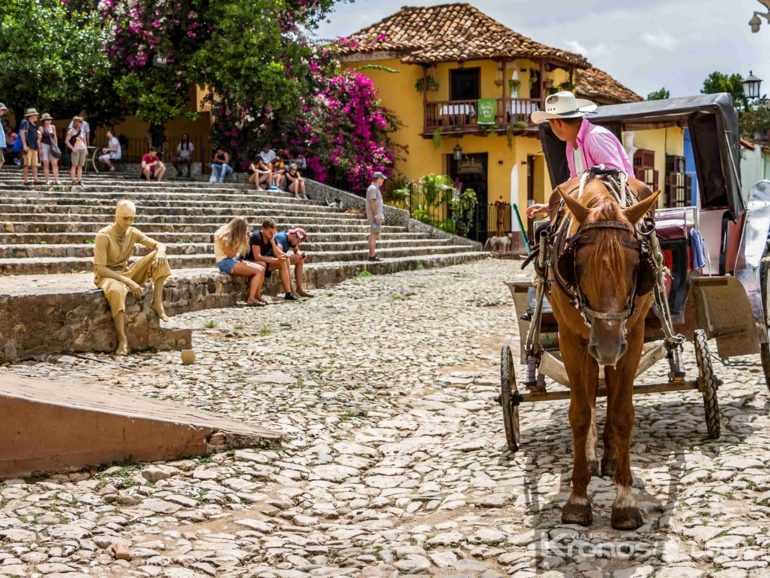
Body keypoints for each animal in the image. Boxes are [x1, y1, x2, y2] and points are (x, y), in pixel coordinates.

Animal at [544, 178, 660, 528]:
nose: (607, 345)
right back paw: (593, 453)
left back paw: (608, 457)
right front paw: (578, 498)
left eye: (636, 265)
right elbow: (580, 413)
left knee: (608, 387)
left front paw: (625, 501)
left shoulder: (631, 338)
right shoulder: (571, 339)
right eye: (578, 264)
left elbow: (623, 413)